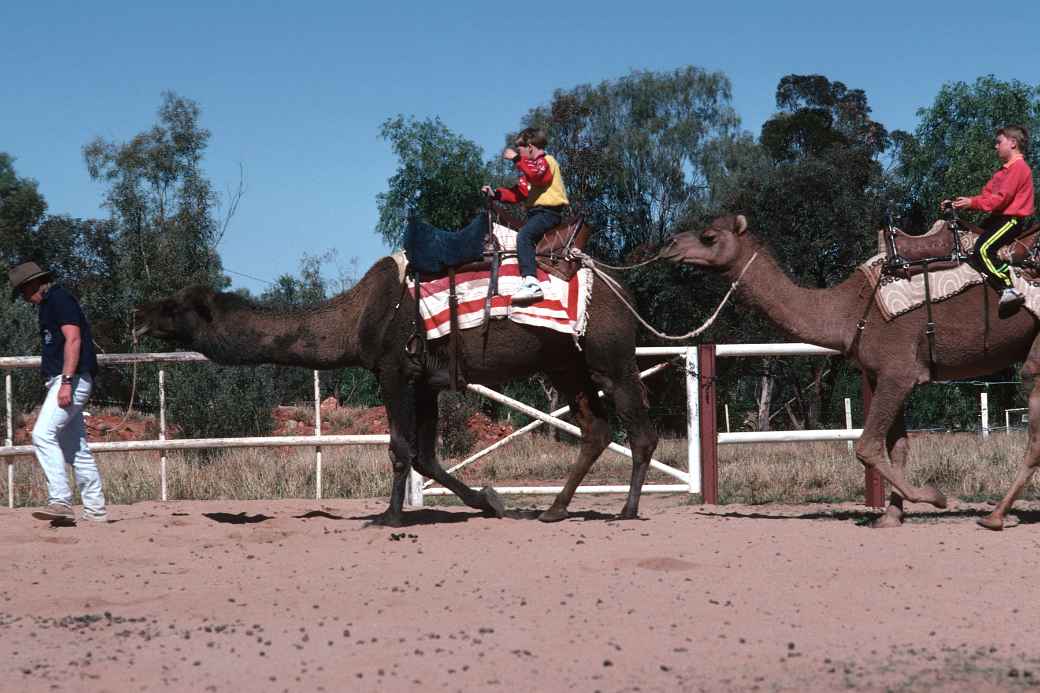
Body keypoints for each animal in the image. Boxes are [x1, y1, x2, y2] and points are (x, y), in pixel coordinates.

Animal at [132, 253, 657, 524]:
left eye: (173, 306)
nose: (137, 315)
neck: (357, 316)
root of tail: (626, 293)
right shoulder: (427, 382)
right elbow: (426, 456)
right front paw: (489, 501)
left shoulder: (394, 370)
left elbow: (401, 448)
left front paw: (389, 516)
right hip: (566, 363)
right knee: (596, 428)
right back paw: (553, 509)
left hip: (609, 354)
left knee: (639, 429)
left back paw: (627, 510)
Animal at [665, 212, 1040, 528]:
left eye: (708, 236)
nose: (670, 245)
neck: (849, 311)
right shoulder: (886, 374)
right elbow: (897, 447)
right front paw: (891, 516)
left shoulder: (898, 371)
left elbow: (867, 447)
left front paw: (934, 497)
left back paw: (996, 516)